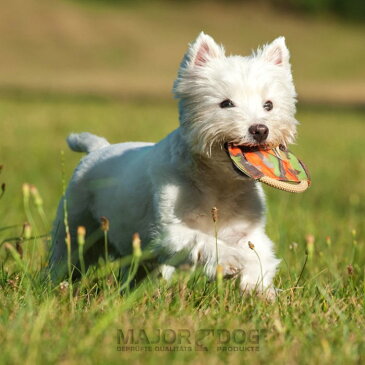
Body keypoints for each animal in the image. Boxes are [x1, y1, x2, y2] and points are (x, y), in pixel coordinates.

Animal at [51, 32, 298, 296]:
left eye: (269, 105)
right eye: (226, 103)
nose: (260, 130)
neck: (219, 184)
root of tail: (98, 148)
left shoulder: (249, 231)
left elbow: (259, 255)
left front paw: (258, 289)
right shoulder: (169, 231)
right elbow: (204, 241)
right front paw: (231, 260)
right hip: (75, 225)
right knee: (65, 256)